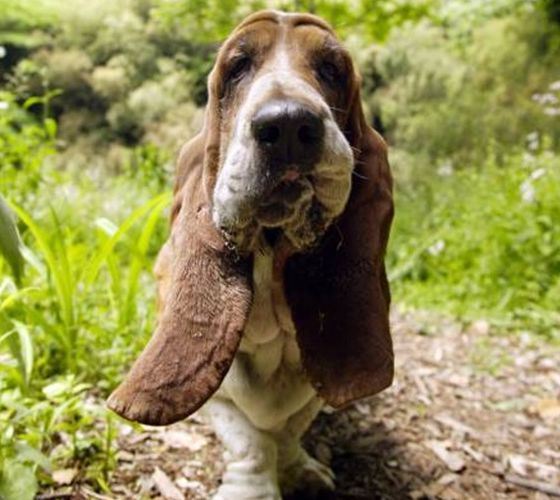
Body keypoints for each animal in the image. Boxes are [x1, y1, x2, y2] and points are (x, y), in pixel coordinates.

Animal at [106, 8, 394, 500]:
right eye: (237, 67)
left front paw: (299, 469)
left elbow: (289, 430)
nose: (289, 126)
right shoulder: (220, 395)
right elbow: (249, 440)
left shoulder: (310, 389)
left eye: (331, 69)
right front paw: (253, 487)